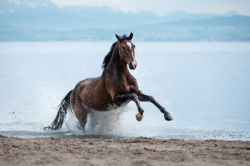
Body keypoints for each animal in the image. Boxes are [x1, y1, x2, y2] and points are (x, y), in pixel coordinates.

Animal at [44, 33, 172, 132]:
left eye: (133, 46)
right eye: (123, 47)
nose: (133, 65)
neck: (122, 75)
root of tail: (73, 90)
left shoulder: (138, 93)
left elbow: (150, 98)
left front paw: (168, 115)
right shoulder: (117, 99)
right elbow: (133, 96)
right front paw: (140, 114)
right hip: (81, 113)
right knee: (80, 126)